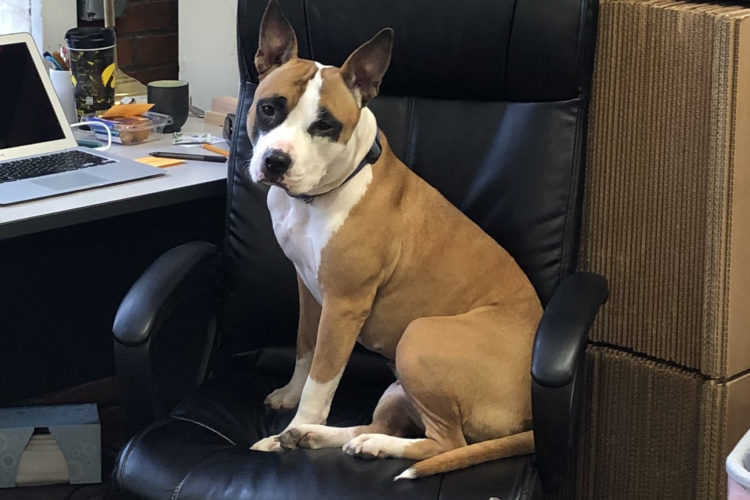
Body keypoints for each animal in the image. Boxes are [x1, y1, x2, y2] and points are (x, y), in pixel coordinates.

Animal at [250, 0, 544, 480]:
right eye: (269, 108)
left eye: (325, 125)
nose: (276, 161)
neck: (319, 197)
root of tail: (532, 412)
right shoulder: (309, 291)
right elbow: (303, 350)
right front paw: (289, 401)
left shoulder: (343, 306)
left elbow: (321, 382)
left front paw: (286, 429)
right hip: (398, 386)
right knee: (384, 425)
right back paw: (329, 438)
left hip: (418, 339)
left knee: (445, 443)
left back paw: (319, 437)